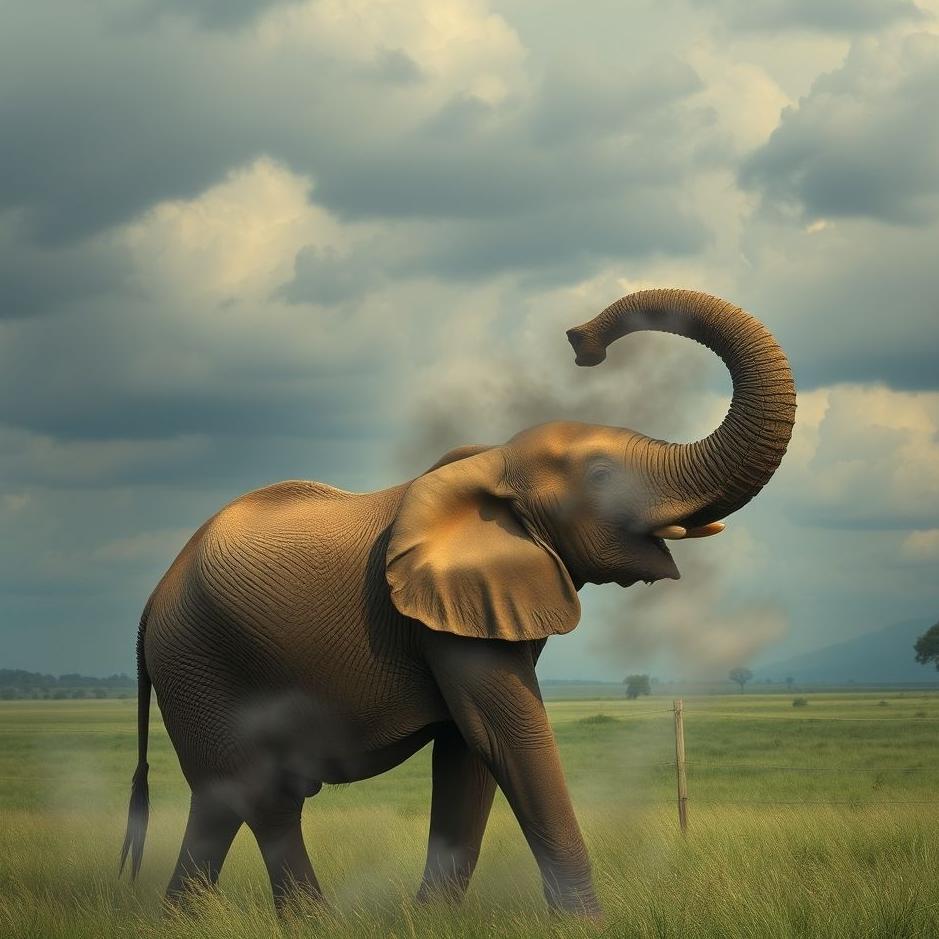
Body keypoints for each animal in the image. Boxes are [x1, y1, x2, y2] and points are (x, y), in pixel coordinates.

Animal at [119, 288, 795, 917]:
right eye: (602, 478)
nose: (581, 342)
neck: (494, 462)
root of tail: (149, 605)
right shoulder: (438, 616)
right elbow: (507, 735)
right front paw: (585, 925)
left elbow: (469, 751)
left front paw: (429, 919)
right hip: (199, 663)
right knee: (251, 795)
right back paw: (285, 921)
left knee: (235, 802)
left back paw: (211, 919)